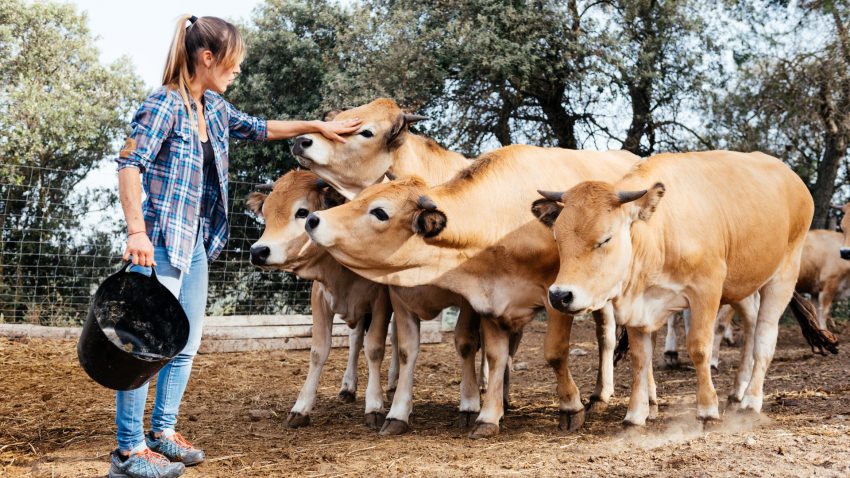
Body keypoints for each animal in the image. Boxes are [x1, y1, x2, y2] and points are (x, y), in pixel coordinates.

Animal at [304, 145, 639, 437]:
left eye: (380, 212)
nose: (313, 219)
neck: (503, 222)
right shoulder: (488, 302)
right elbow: (495, 355)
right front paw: (488, 416)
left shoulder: (557, 296)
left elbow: (555, 353)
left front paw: (570, 408)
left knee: (606, 337)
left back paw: (600, 396)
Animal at [532, 150, 828, 426]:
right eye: (557, 238)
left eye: (606, 239)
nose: (560, 295)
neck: (658, 233)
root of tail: (794, 180)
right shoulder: (639, 305)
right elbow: (640, 357)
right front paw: (635, 416)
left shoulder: (706, 290)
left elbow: (699, 347)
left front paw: (707, 410)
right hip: (742, 284)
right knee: (752, 322)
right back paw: (738, 391)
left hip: (783, 274)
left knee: (765, 338)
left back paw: (751, 401)